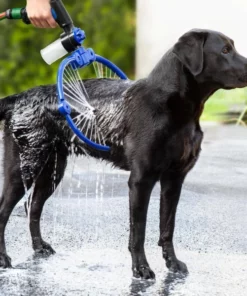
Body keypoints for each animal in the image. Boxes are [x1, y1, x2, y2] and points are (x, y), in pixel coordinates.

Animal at [0, 28, 247, 278]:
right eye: (225, 50)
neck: (177, 107)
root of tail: (18, 98)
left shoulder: (174, 179)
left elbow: (167, 227)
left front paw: (172, 263)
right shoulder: (141, 180)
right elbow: (138, 231)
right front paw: (141, 268)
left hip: (52, 169)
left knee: (33, 207)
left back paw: (39, 247)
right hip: (24, 168)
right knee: (4, 212)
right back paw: (4, 258)